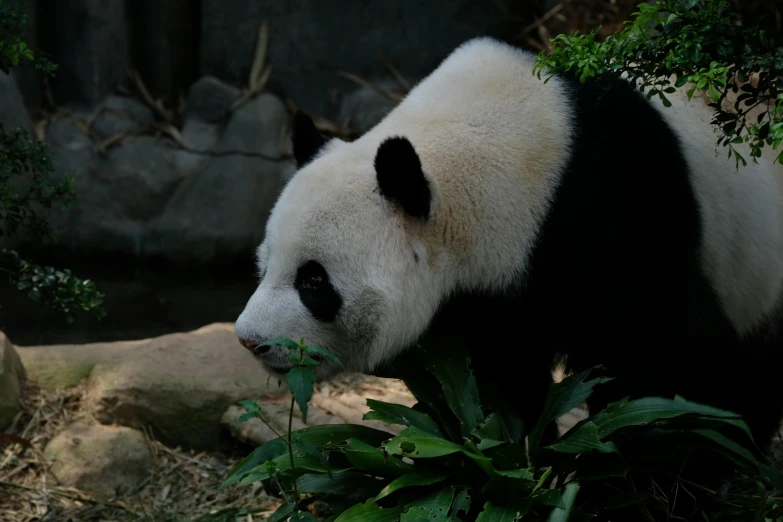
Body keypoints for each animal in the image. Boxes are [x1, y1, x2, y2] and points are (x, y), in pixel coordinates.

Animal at [236, 35, 783, 496]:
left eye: (313, 281)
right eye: (263, 267)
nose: (249, 340)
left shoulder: (619, 215)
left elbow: (667, 356)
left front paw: (666, 477)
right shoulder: (482, 295)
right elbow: (493, 382)